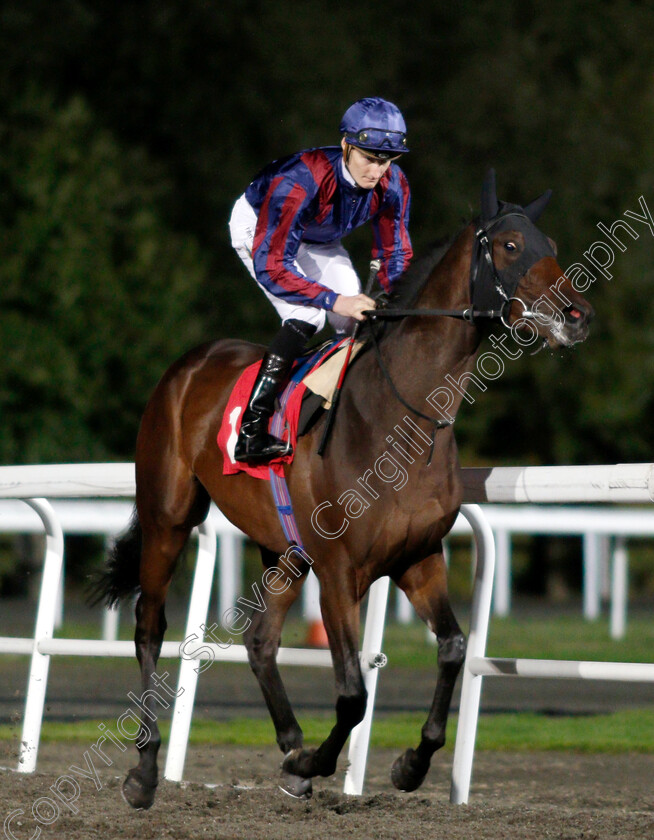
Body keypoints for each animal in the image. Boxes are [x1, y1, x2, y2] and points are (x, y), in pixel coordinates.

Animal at [92, 169, 596, 808]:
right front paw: (319, 760)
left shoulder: (418, 558)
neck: (398, 415)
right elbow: (354, 693)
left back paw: (288, 748)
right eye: (509, 246)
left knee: (260, 641)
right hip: (169, 515)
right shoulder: (338, 570)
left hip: (283, 548)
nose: (578, 316)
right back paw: (145, 769)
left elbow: (454, 649)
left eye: (549, 244)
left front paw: (408, 764)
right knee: (149, 625)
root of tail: (188, 364)